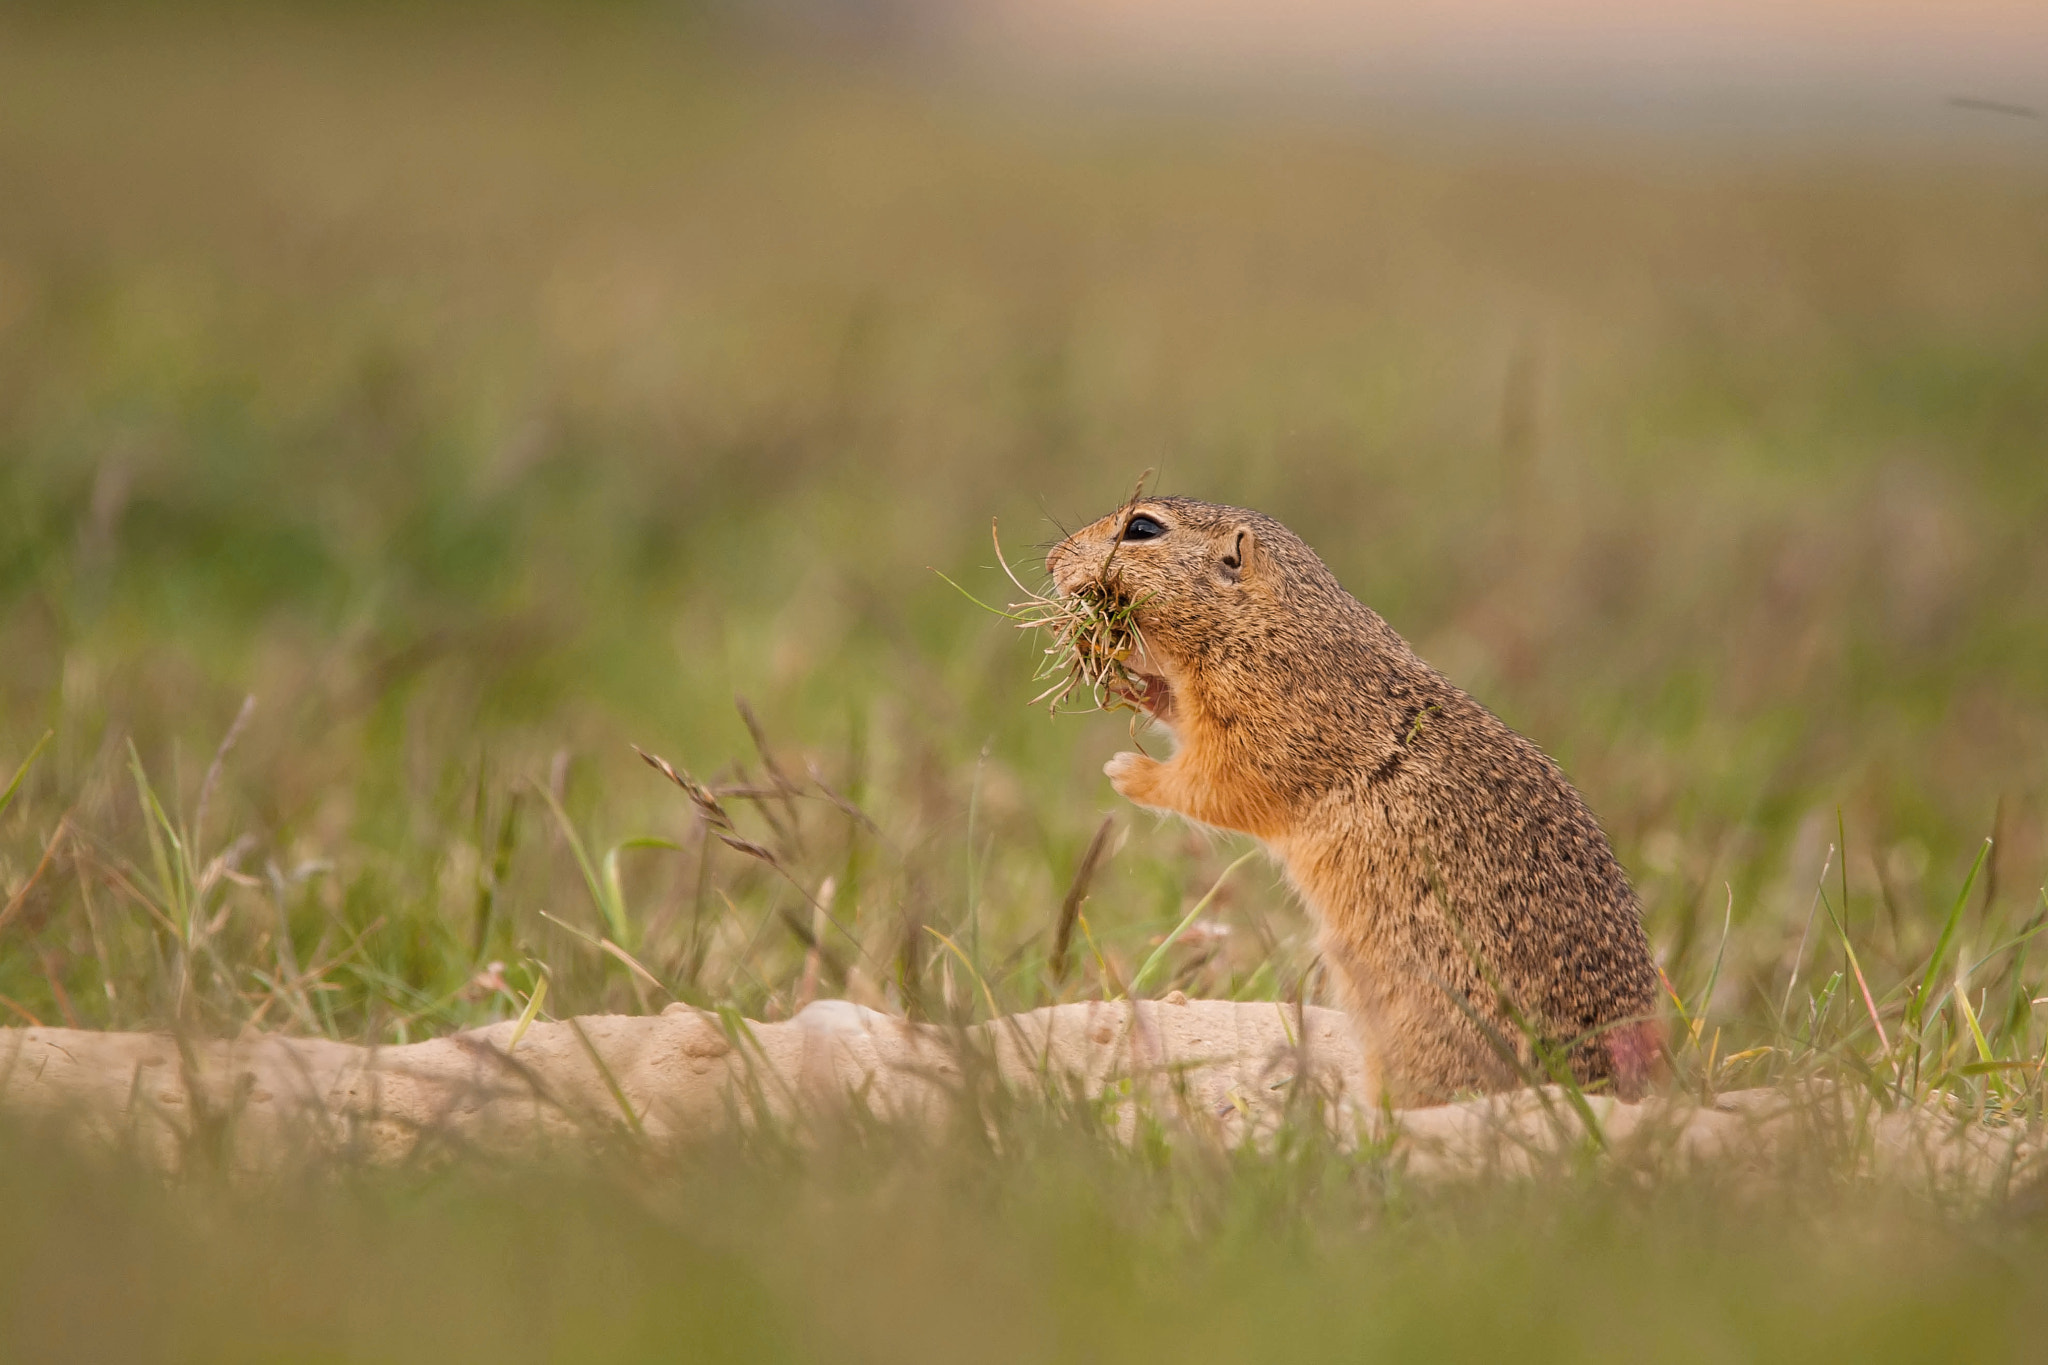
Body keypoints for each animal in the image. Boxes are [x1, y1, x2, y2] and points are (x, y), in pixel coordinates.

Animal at [1056, 499, 1662, 1113]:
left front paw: (1126, 772)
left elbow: (1209, 784)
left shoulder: (1266, 730)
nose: (1055, 559)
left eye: (1141, 528)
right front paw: (1125, 673)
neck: (1262, 622)